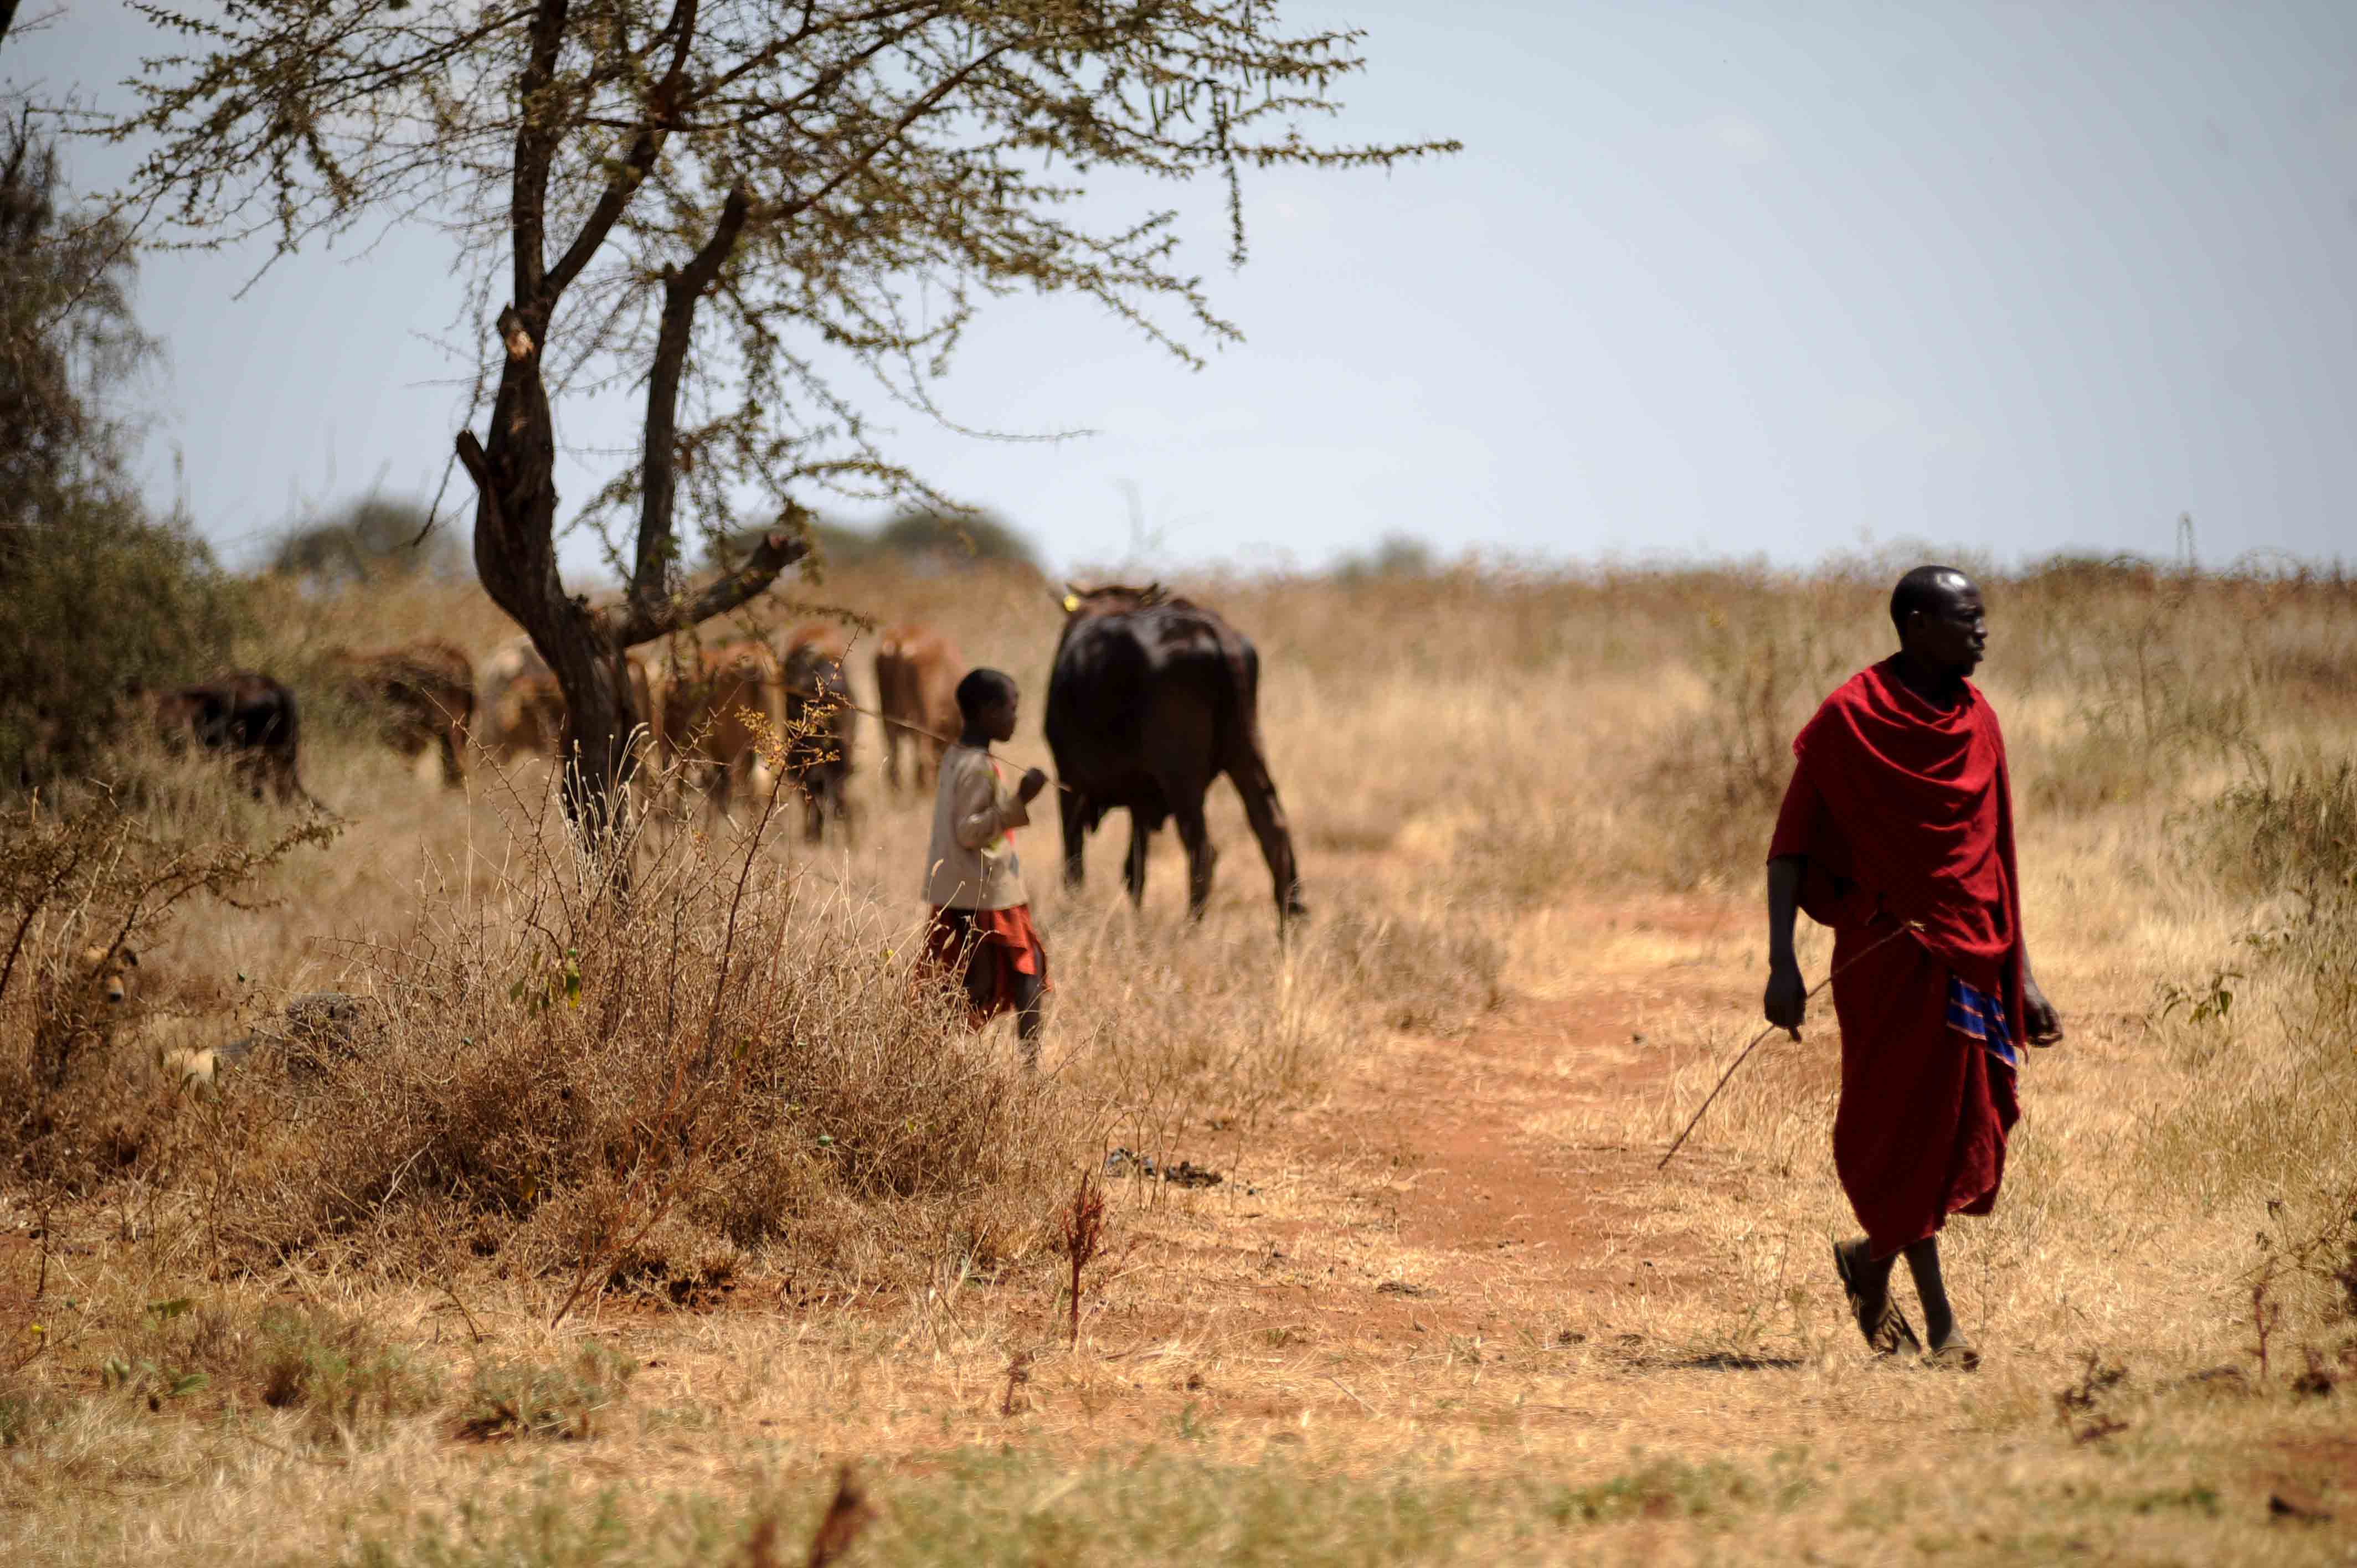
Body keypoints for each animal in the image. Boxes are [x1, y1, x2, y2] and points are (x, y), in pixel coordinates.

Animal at [1051, 580, 1310, 924]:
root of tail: (1212, 631)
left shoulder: (1069, 781)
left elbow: (1074, 861)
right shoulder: (1140, 798)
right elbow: (1134, 870)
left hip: (1181, 778)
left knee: (1203, 851)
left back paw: (1190, 928)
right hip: (1246, 753)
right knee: (1273, 831)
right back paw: (1286, 928)